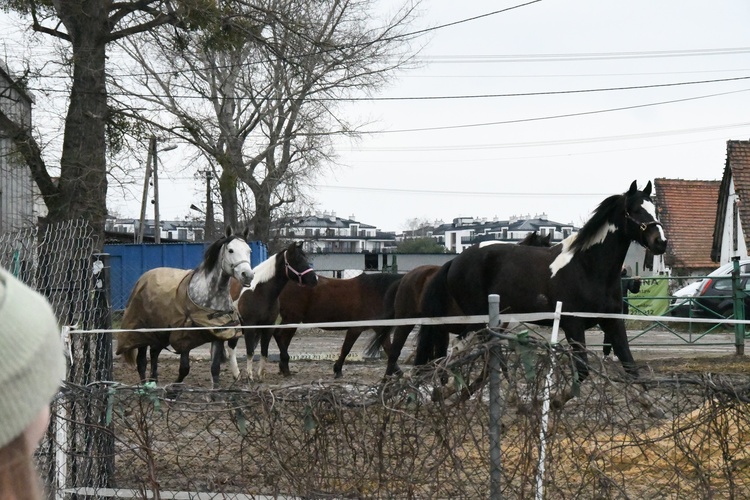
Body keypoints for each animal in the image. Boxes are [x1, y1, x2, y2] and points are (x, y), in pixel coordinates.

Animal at [223, 240, 318, 380]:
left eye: (305, 257)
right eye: (296, 260)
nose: (314, 279)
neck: (261, 292)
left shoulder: (268, 327)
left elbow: (264, 351)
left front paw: (260, 375)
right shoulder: (250, 327)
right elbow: (250, 351)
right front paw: (250, 376)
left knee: (231, 347)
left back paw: (237, 375)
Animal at [418, 182, 668, 404]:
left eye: (655, 209)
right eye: (635, 210)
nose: (660, 242)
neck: (588, 266)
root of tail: (455, 260)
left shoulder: (613, 322)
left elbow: (630, 366)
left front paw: (650, 405)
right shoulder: (573, 325)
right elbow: (582, 370)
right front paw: (556, 399)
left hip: (489, 322)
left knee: (475, 354)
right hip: (480, 320)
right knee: (464, 350)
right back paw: (447, 389)